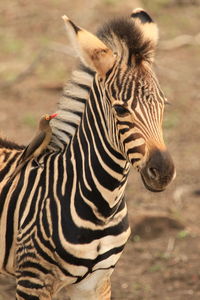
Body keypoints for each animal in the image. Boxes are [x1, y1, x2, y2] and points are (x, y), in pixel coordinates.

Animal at [0, 8, 175, 298]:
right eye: (120, 110)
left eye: (164, 104)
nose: (163, 172)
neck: (103, 206)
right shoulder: (33, 280)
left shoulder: (97, 282)